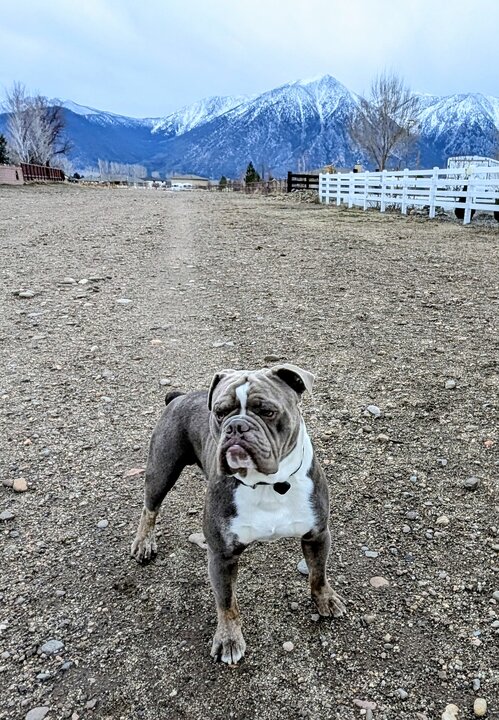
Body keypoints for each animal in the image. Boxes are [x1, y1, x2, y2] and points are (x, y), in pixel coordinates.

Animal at [131, 364, 345, 663]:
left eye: (267, 411)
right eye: (220, 413)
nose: (236, 426)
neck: (269, 484)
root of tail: (180, 396)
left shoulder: (317, 535)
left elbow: (318, 572)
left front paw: (325, 599)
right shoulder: (222, 555)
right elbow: (226, 602)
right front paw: (229, 639)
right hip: (162, 470)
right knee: (150, 507)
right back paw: (143, 543)